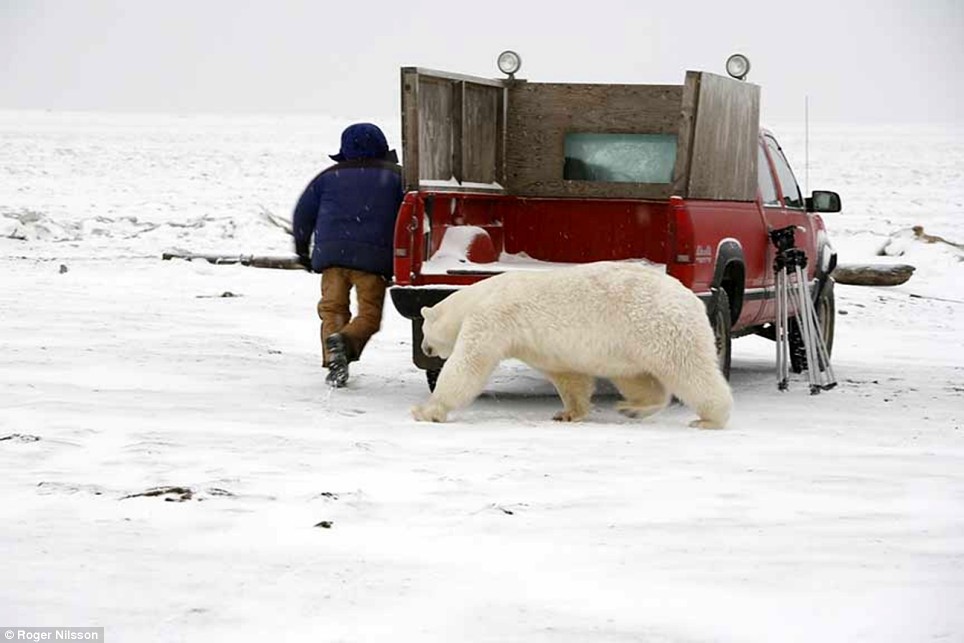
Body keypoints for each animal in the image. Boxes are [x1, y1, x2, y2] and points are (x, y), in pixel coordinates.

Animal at [411, 261, 733, 429]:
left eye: (426, 330)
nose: (425, 349)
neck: (479, 296)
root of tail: (691, 298)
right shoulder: (542, 347)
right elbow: (568, 376)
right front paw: (567, 413)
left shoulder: (493, 319)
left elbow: (468, 365)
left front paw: (426, 411)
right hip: (628, 344)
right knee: (637, 378)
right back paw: (632, 408)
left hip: (657, 327)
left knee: (689, 370)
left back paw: (709, 419)